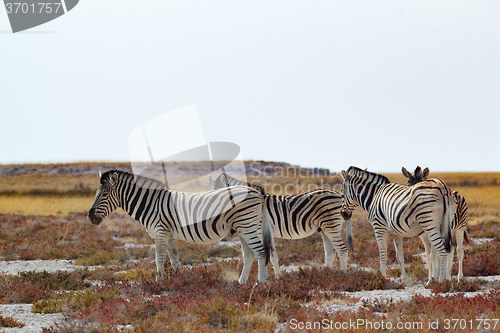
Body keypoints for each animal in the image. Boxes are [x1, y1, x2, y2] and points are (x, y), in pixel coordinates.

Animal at [87, 171, 274, 282]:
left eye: (104, 194)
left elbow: (159, 259)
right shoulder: (169, 236)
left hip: (247, 226)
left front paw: (159, 283)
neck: (151, 204)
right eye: (96, 193)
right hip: (243, 228)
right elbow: (175, 260)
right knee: (249, 254)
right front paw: (178, 282)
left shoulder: (160, 233)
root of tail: (256, 192)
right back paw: (241, 284)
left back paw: (262, 283)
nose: (90, 217)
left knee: (260, 251)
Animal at [207, 172, 352, 272]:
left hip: (331, 226)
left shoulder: (259, 230)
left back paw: (342, 275)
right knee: (331, 252)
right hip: (324, 228)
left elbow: (267, 255)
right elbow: (273, 256)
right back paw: (325, 274)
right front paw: (278, 278)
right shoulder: (267, 232)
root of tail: (339, 195)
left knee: (342, 250)